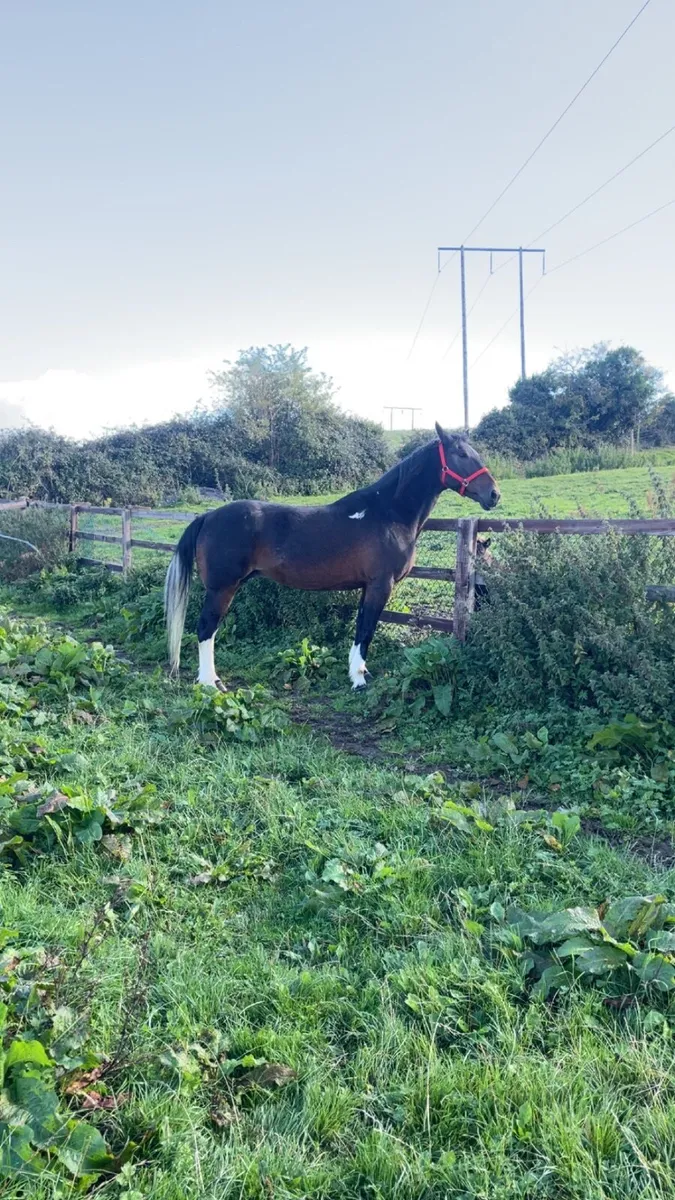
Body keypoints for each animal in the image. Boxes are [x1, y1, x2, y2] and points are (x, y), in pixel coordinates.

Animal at [164, 422, 500, 690]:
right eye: (461, 455)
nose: (494, 494)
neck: (388, 513)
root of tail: (208, 516)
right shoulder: (380, 585)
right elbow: (366, 629)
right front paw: (359, 680)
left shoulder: (368, 587)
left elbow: (360, 627)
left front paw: (358, 673)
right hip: (222, 587)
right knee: (206, 628)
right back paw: (210, 683)